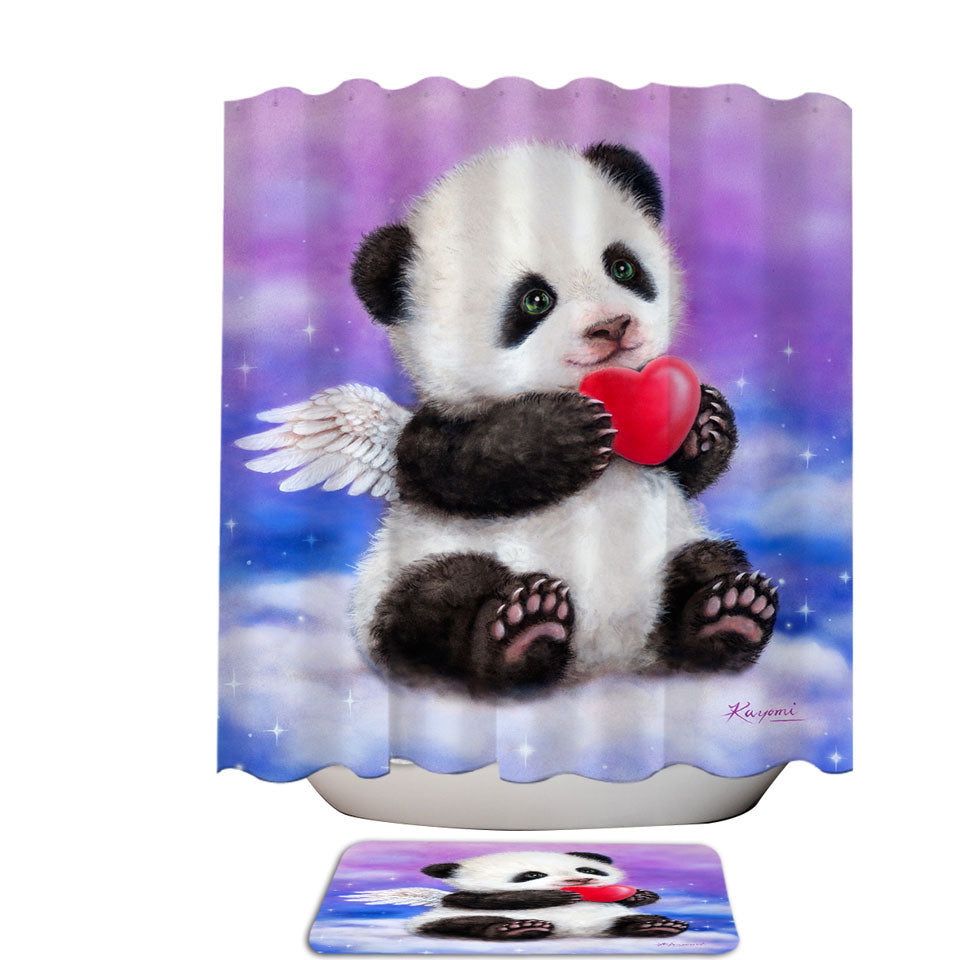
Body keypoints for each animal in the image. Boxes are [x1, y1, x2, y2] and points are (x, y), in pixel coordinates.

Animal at [238, 141, 779, 699]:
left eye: (624, 268)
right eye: (534, 301)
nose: (611, 326)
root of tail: (604, 656)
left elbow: (686, 475)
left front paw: (703, 422)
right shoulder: (437, 431)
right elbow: (461, 467)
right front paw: (564, 433)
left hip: (670, 548)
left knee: (709, 562)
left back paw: (730, 614)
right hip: (414, 569)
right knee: (434, 599)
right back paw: (522, 632)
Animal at [344, 849, 689, 941]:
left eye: (589, 869)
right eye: (531, 875)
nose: (581, 880)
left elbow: (621, 898)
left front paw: (640, 895)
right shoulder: (461, 900)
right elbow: (475, 899)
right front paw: (552, 899)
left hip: (607, 920)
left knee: (621, 922)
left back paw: (656, 925)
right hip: (445, 921)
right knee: (464, 923)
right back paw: (519, 929)